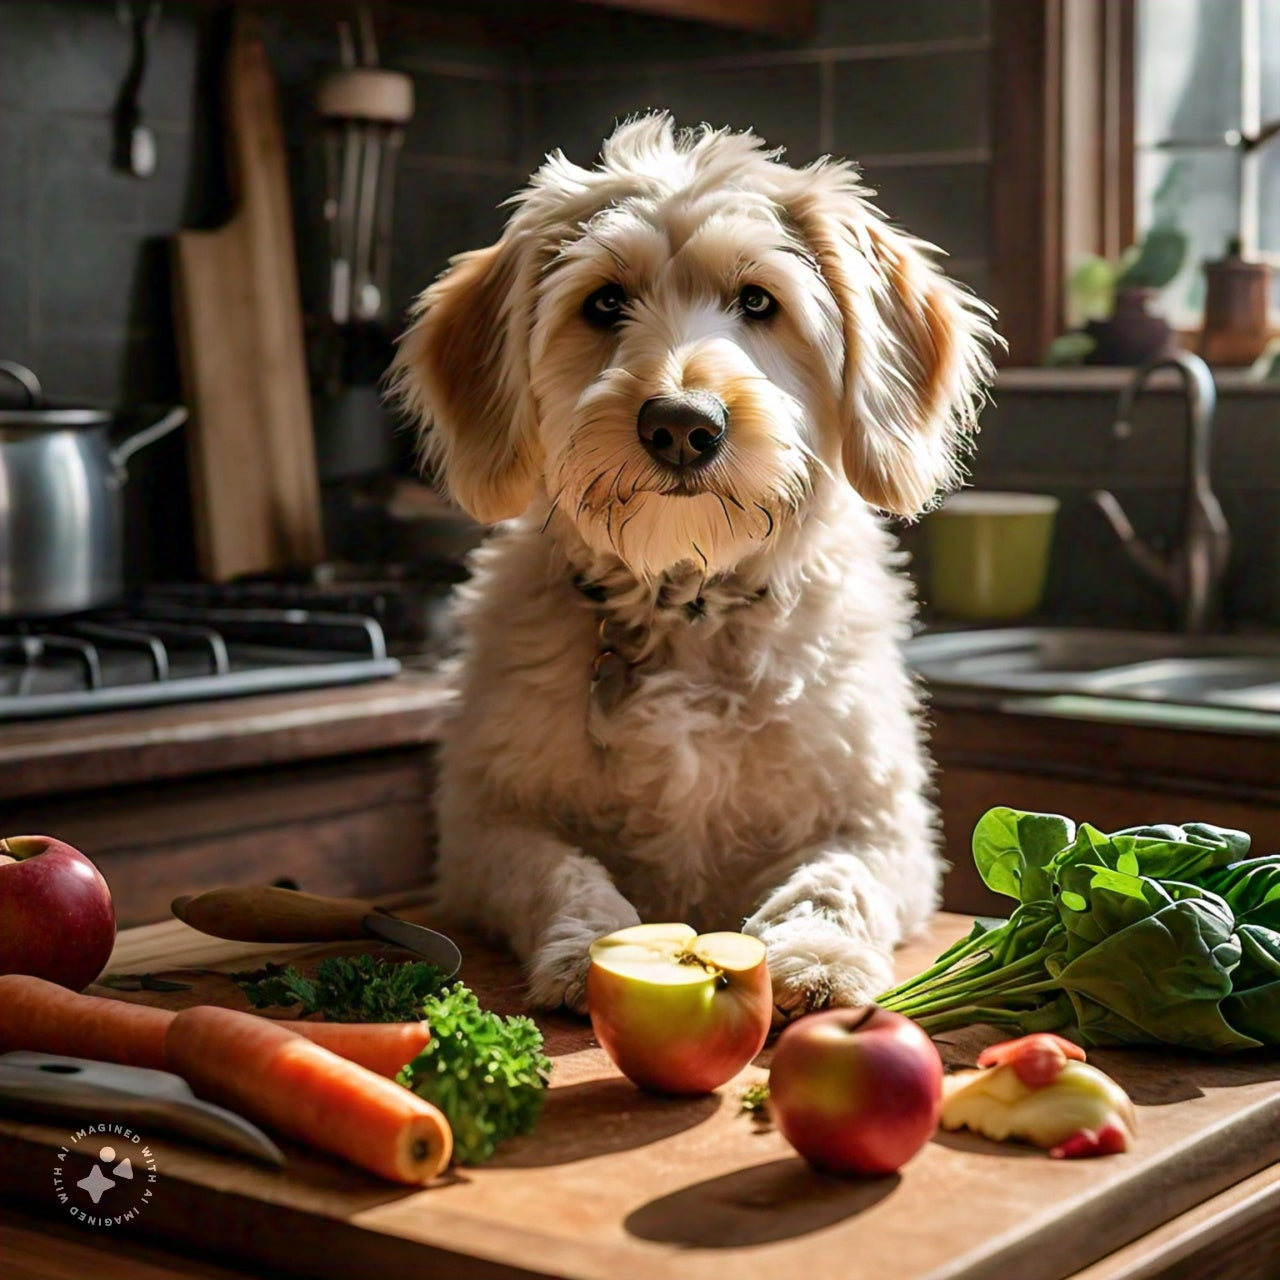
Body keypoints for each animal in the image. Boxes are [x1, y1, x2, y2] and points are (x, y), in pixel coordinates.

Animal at [394, 115, 993, 1013]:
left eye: (758, 301)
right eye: (605, 302)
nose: (681, 424)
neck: (686, 605)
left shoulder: (888, 830)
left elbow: (835, 878)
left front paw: (816, 955)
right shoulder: (481, 832)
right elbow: (558, 870)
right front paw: (594, 947)